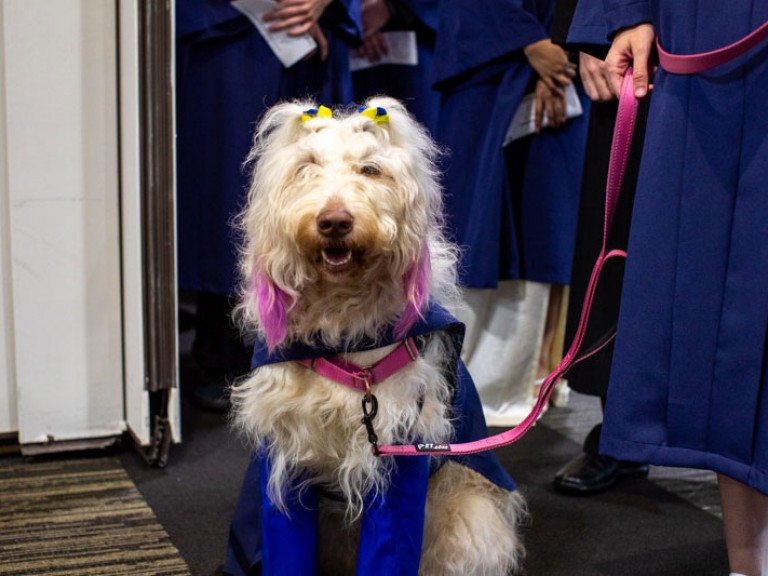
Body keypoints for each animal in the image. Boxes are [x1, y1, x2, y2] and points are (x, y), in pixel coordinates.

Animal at [230, 97, 528, 572]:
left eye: (370, 169)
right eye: (306, 166)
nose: (334, 221)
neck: (341, 329)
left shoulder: (401, 456)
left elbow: (390, 548)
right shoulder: (285, 456)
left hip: (468, 519)